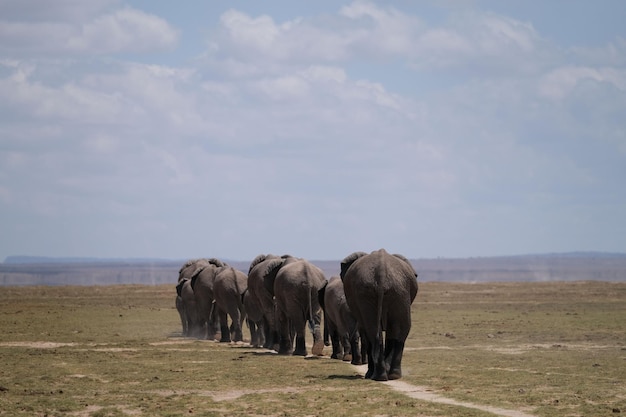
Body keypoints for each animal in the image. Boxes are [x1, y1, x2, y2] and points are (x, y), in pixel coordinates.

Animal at [338, 247, 416, 380]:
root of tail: (381, 270)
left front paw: (368, 374)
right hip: (397, 291)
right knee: (396, 329)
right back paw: (389, 375)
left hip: (387, 291)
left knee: (376, 330)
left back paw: (381, 376)